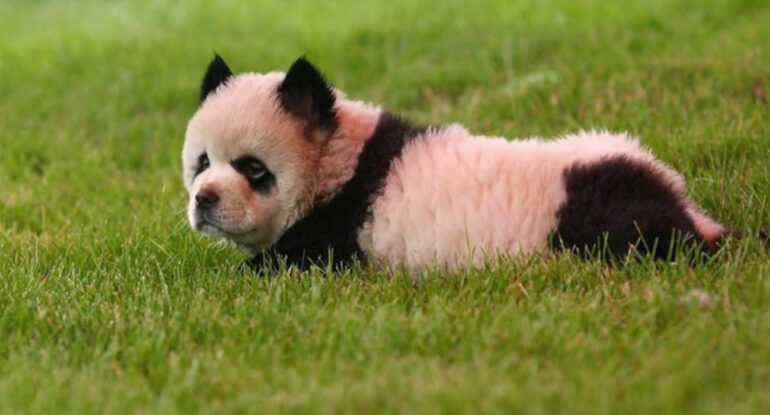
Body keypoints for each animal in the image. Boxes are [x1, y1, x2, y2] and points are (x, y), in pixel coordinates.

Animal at [182, 54, 752, 273]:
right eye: (202, 162)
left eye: (254, 169)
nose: (203, 200)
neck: (339, 157)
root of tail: (688, 208)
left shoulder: (340, 227)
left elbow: (290, 261)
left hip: (595, 213)